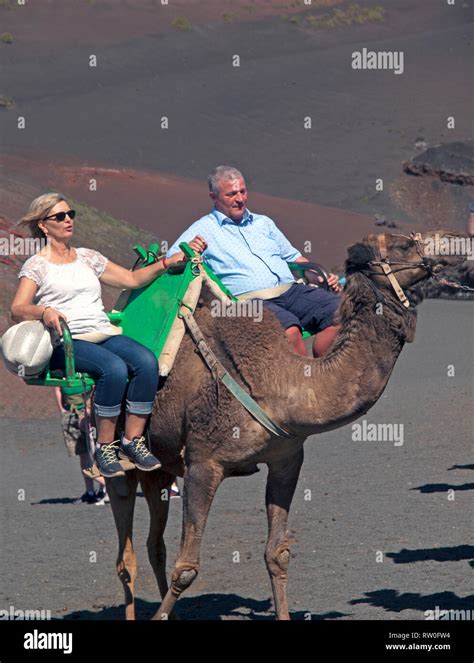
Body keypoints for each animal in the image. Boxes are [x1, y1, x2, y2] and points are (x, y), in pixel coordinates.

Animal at [105, 231, 464, 620]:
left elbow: (277, 553)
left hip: (161, 468)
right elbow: (187, 567)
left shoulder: (286, 459)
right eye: (403, 245)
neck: (279, 383)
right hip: (116, 460)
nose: (455, 245)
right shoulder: (203, 463)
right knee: (126, 556)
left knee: (154, 543)